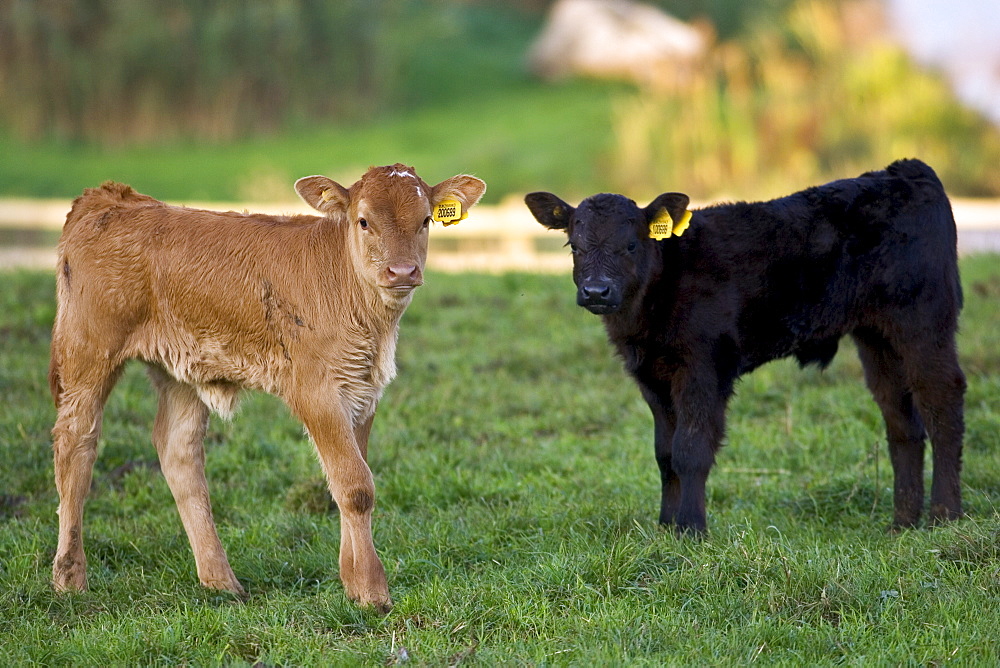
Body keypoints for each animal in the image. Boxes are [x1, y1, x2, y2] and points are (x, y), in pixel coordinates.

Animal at [50, 163, 488, 612]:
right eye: (364, 221)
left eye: (425, 219)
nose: (402, 272)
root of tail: (109, 196)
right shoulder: (315, 391)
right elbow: (355, 486)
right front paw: (372, 592)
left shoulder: (364, 391)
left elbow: (351, 477)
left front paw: (352, 581)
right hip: (88, 350)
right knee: (76, 443)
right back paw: (69, 578)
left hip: (180, 370)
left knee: (178, 452)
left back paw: (221, 582)